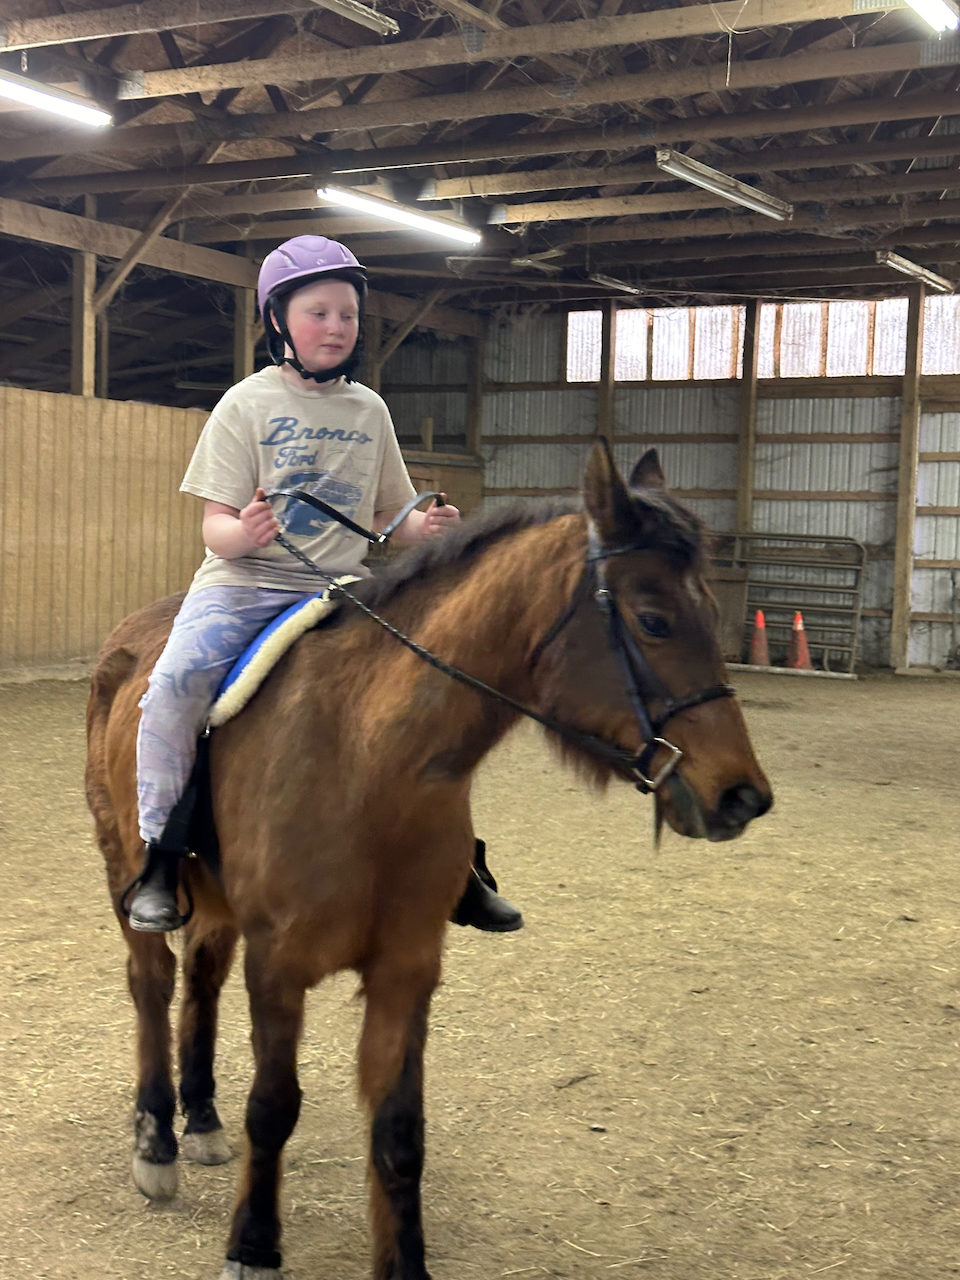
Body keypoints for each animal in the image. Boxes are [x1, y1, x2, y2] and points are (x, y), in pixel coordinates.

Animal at [85, 443, 771, 1280]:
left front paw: (402, 1261)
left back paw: (203, 1116)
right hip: (128, 869)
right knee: (151, 985)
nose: (742, 795)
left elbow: (399, 1132)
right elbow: (274, 1108)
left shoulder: (407, 970)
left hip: (218, 906)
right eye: (654, 620)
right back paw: (156, 1139)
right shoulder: (279, 965)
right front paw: (253, 1245)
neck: (368, 757)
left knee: (201, 981)